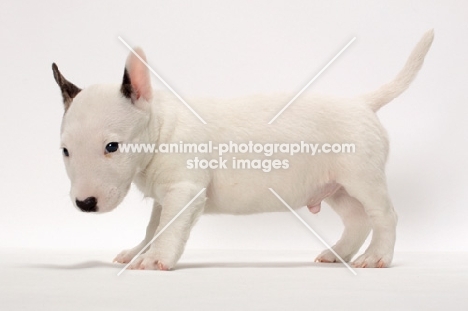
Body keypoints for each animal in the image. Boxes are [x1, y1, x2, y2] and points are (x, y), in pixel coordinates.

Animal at [53, 31, 434, 270]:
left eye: (112, 146)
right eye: (65, 151)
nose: (85, 204)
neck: (162, 128)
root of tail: (363, 104)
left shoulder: (184, 190)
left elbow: (168, 227)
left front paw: (154, 259)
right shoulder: (166, 195)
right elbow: (153, 226)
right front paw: (138, 251)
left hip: (362, 176)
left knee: (383, 215)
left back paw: (377, 257)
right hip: (336, 186)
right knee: (357, 220)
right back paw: (337, 254)